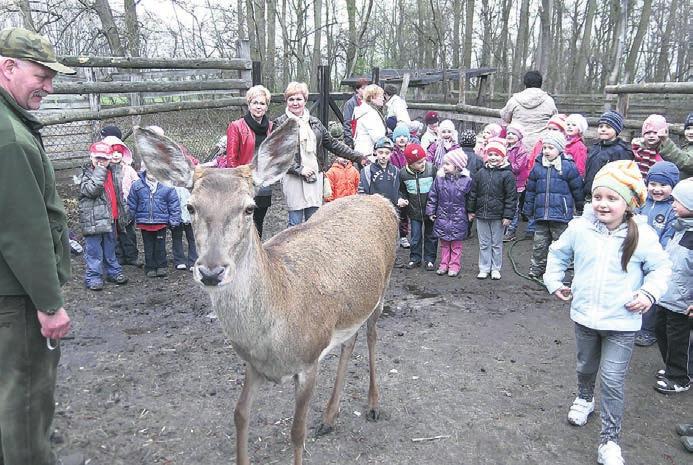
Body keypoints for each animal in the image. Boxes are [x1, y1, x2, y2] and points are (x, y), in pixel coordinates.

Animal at [133, 119, 398, 464]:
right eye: (190, 206)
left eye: (249, 208)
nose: (212, 271)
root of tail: (383, 201)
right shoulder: (252, 364)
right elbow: (240, 415)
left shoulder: (309, 360)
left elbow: (296, 432)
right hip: (353, 306)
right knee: (349, 341)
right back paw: (329, 417)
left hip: (384, 285)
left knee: (372, 336)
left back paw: (373, 405)